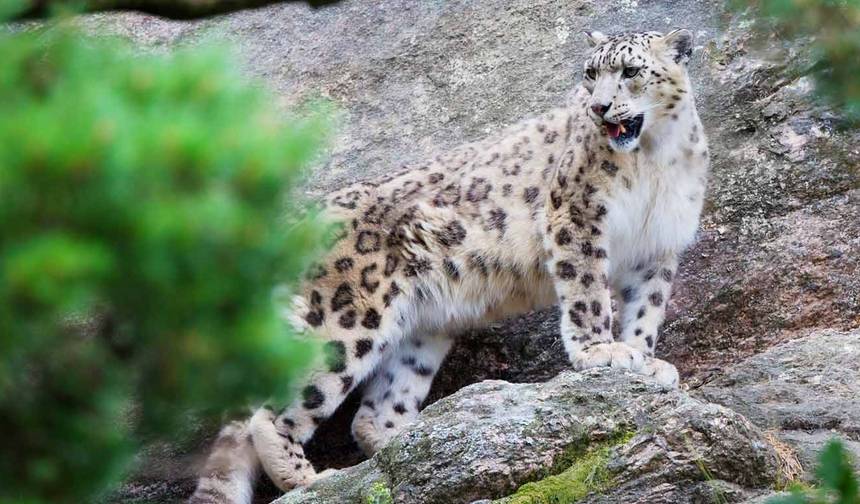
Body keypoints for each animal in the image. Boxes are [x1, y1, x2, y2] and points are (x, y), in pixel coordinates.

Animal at [189, 28, 709, 504]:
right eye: (590, 74)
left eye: (630, 70)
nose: (600, 107)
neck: (655, 159)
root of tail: (297, 223)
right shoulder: (577, 218)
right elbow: (586, 292)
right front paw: (601, 353)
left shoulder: (658, 248)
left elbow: (646, 310)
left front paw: (645, 359)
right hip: (347, 319)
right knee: (274, 409)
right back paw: (312, 478)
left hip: (416, 335)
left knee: (373, 413)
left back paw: (418, 441)